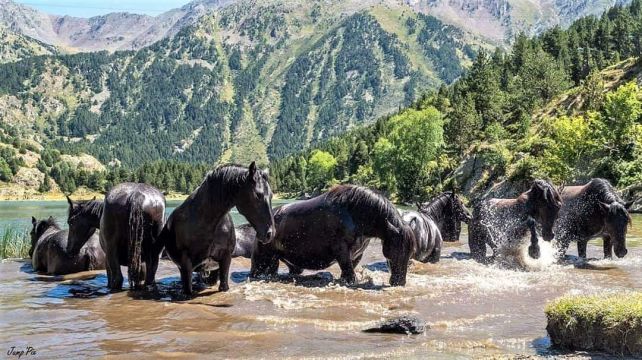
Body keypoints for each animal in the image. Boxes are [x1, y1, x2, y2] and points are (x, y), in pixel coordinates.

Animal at [161, 163, 274, 296]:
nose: (270, 233)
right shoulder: (186, 265)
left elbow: (224, 285)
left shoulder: (225, 259)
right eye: (258, 195)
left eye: (271, 195)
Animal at [250, 186, 416, 286]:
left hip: (282, 261)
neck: (356, 213)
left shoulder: (357, 254)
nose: (399, 282)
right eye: (395, 251)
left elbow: (348, 270)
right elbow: (349, 273)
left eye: (411, 253)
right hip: (261, 260)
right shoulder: (341, 250)